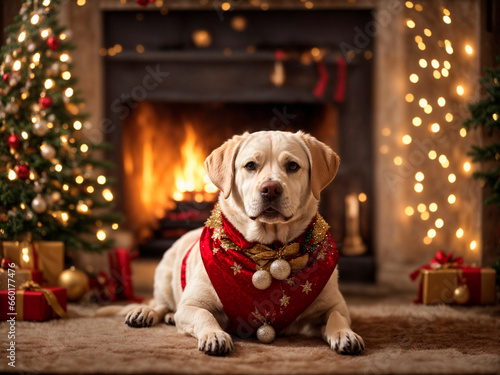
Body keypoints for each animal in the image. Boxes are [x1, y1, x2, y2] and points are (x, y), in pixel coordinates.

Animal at [100, 131, 364, 356]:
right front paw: (214, 335)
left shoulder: (335, 305)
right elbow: (205, 317)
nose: (270, 189)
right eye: (250, 165)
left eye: (292, 166)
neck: (270, 252)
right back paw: (145, 312)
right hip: (164, 276)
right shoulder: (191, 305)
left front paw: (345, 335)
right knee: (159, 303)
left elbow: (337, 317)